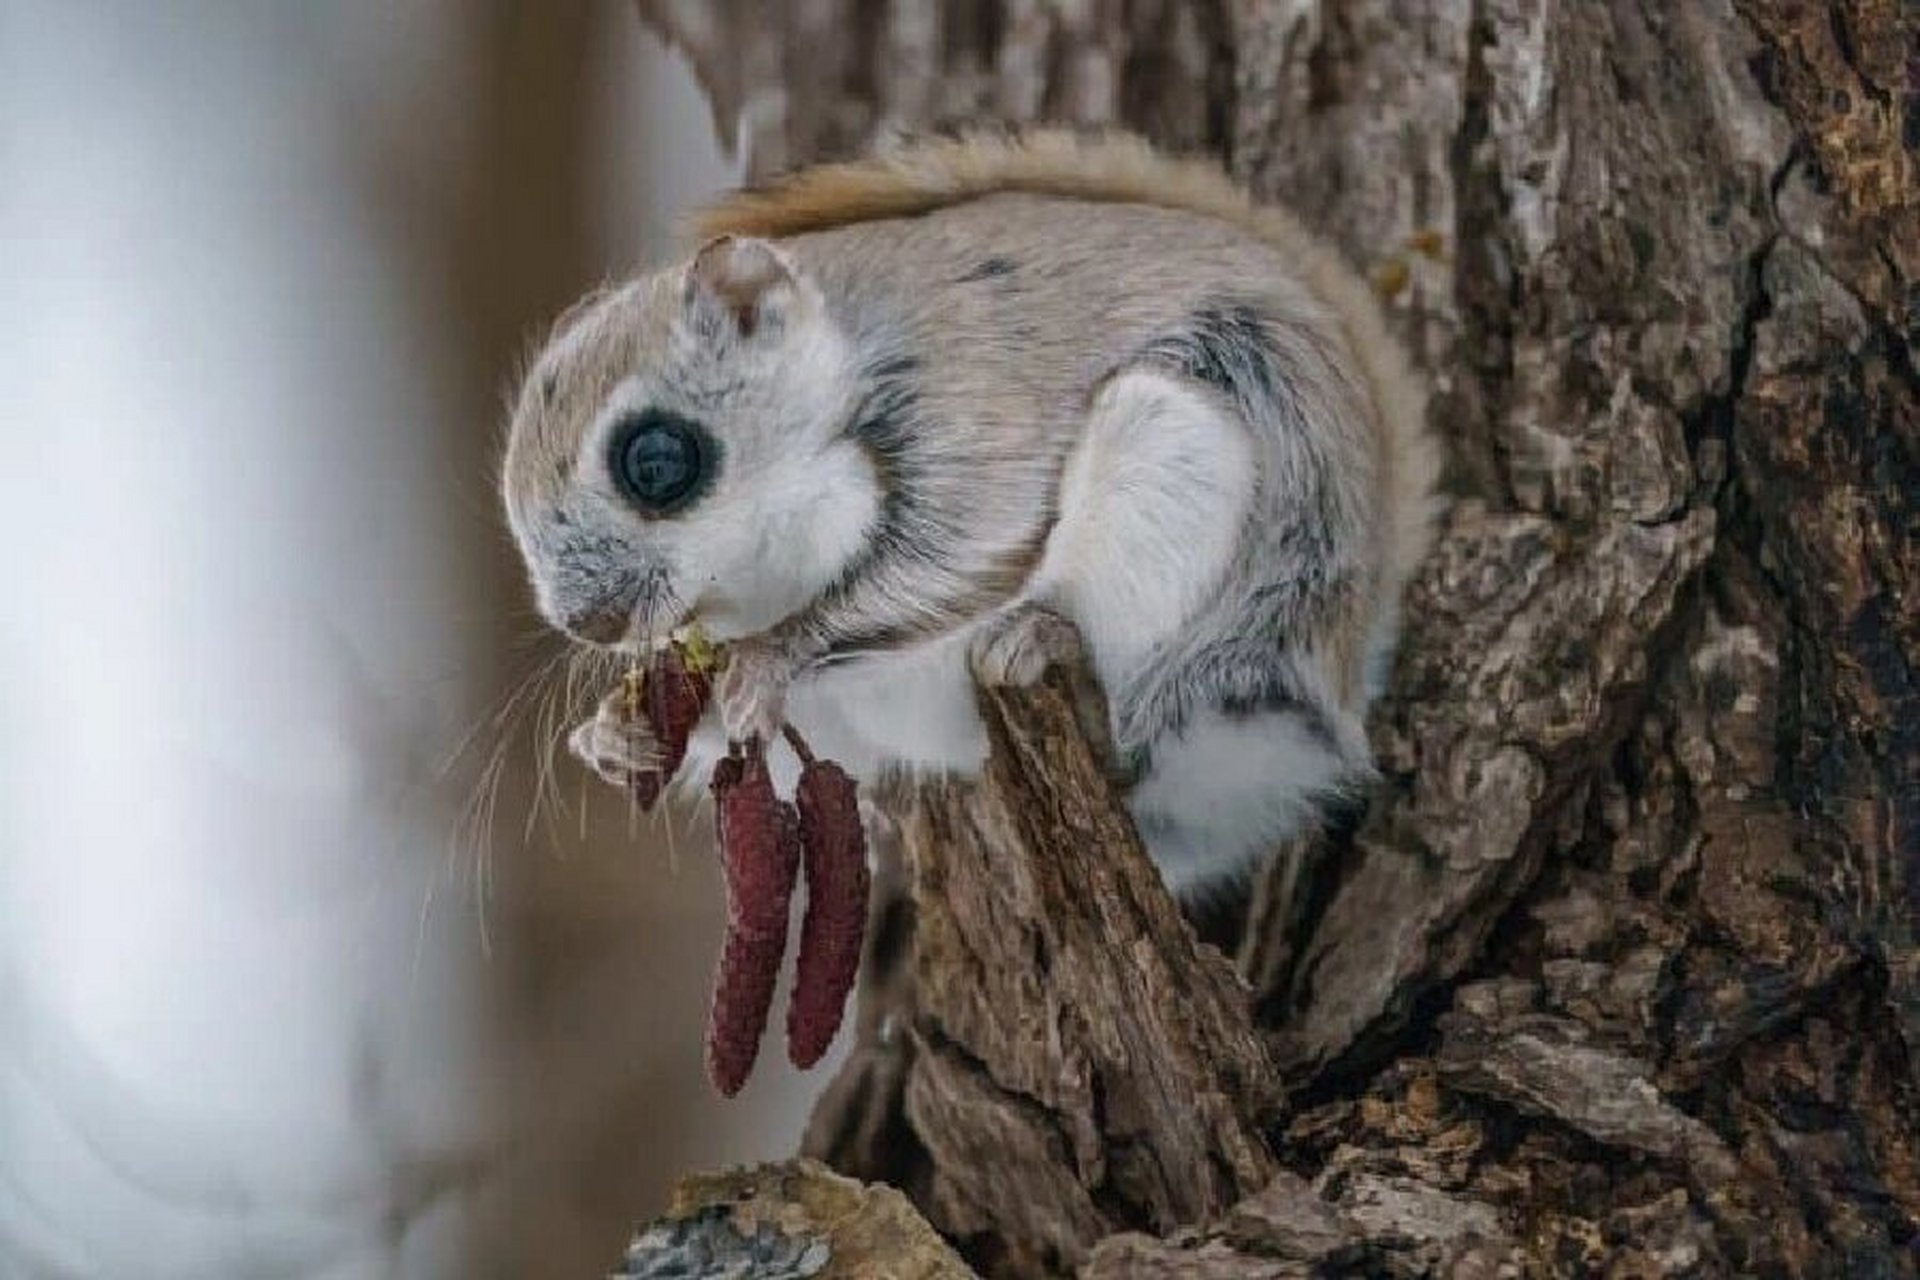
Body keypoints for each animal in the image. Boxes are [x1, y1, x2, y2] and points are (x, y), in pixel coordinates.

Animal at [501, 128, 1443, 896]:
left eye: (656, 461)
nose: (589, 622)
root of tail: (1343, 669)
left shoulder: (975, 431)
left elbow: (945, 563)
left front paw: (773, 657)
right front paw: (617, 732)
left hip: (1175, 472)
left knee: (1137, 745)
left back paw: (1058, 655)